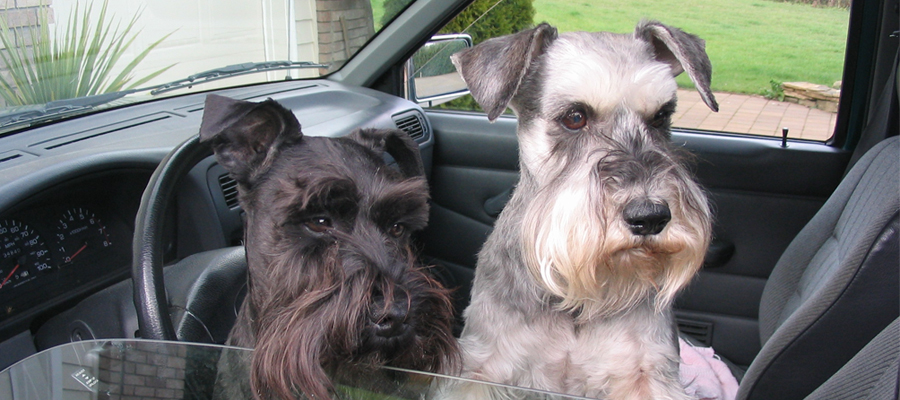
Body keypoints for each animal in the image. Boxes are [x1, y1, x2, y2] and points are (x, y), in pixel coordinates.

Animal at [448, 21, 716, 400]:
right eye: (575, 117)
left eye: (661, 116)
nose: (650, 216)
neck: (575, 300)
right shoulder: (482, 366)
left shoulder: (647, 371)